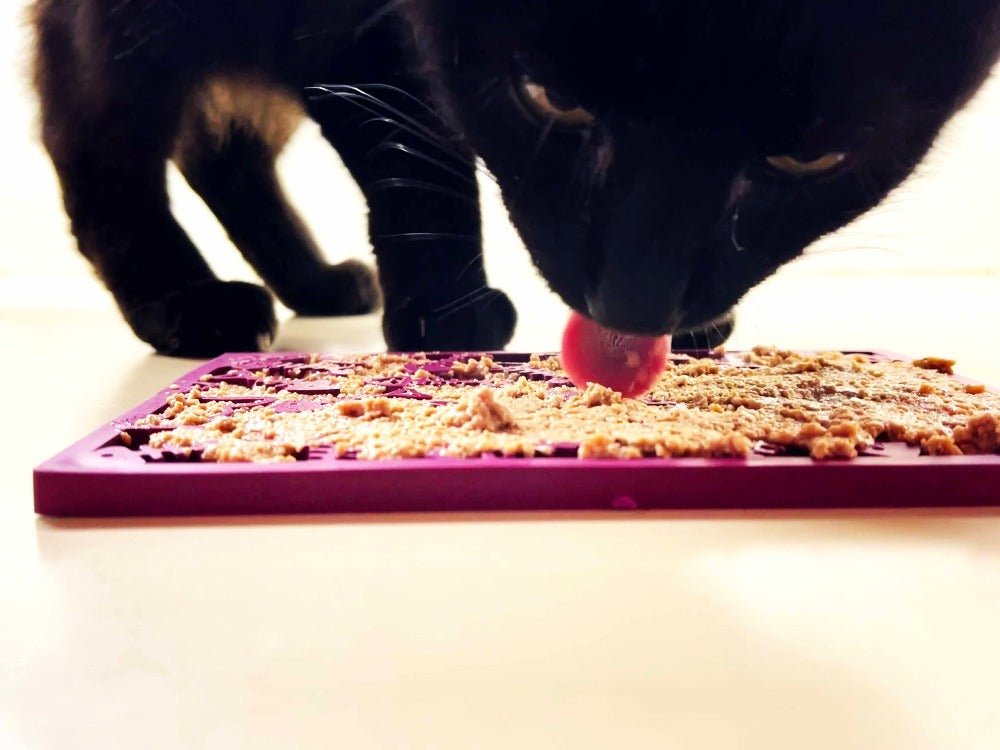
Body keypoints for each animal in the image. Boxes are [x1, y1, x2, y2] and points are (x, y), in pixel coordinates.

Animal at [31, 0, 1000, 358]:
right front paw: (445, 316)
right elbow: (414, 151)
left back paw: (317, 282)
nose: (633, 307)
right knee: (94, 137)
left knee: (224, 154)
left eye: (813, 159)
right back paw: (183, 303)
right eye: (548, 100)